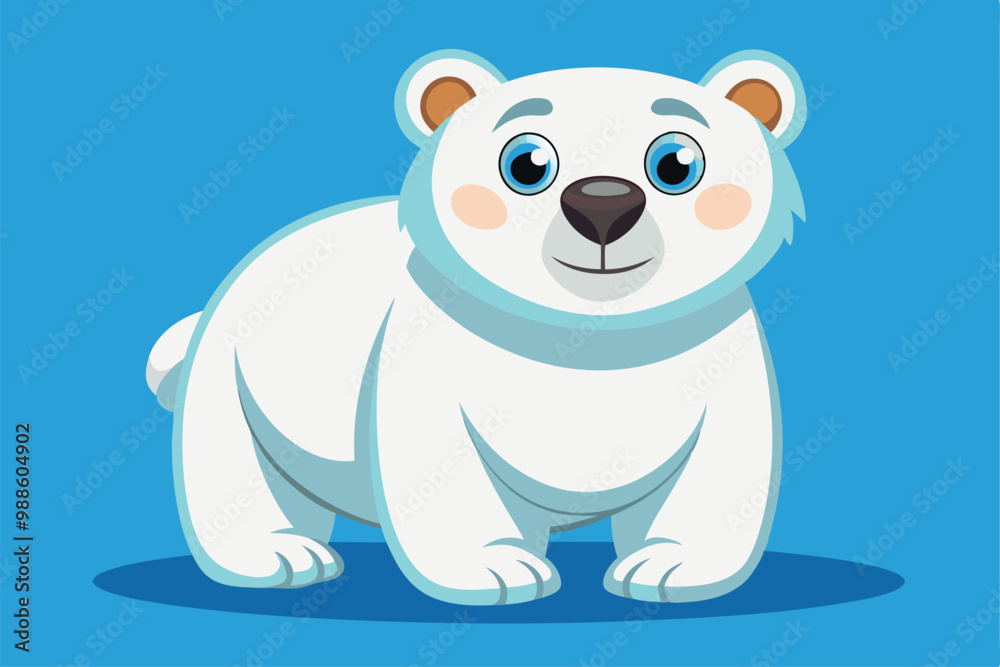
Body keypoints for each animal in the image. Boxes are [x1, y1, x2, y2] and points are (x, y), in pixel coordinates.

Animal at [146, 49, 807, 605]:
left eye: (677, 163)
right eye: (527, 163)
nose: (603, 204)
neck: (587, 336)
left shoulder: (720, 357)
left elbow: (719, 469)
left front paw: (672, 568)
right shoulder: (430, 357)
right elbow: (442, 468)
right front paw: (491, 571)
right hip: (233, 372)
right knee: (240, 468)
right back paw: (278, 556)